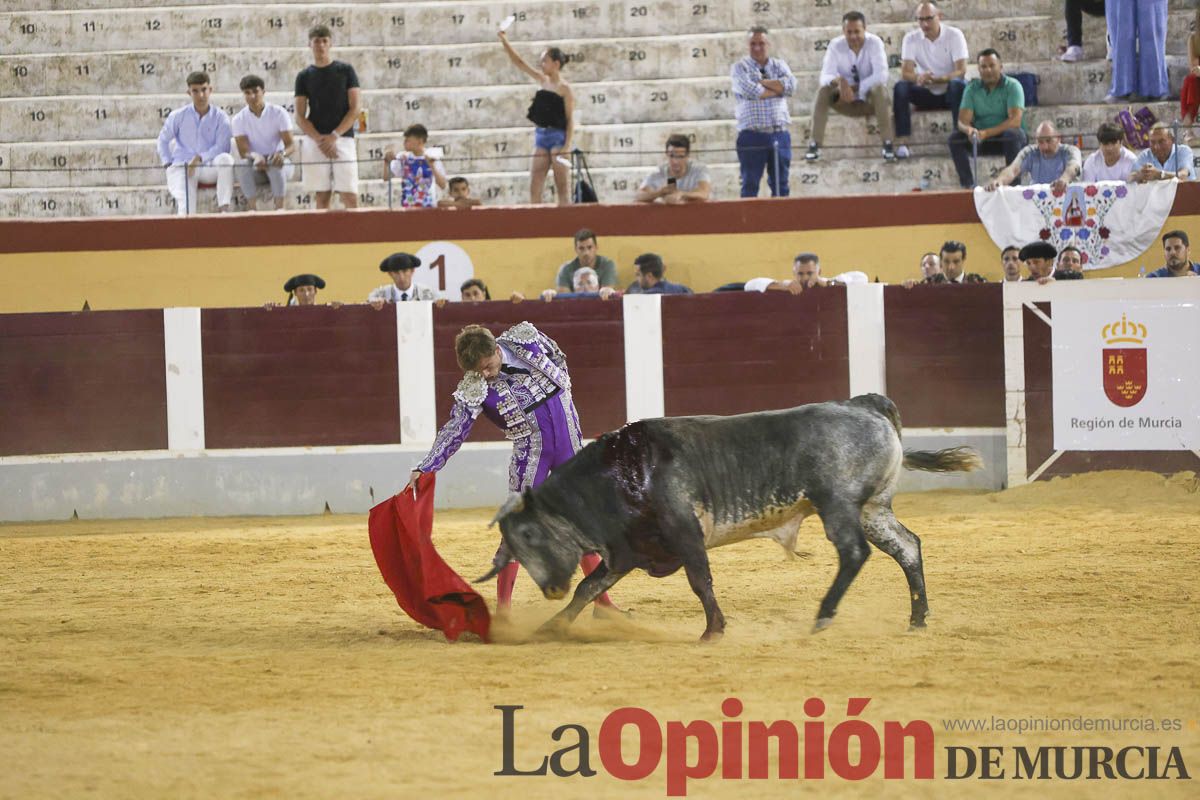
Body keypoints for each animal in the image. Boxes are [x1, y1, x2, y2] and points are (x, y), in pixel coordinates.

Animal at [472, 395, 979, 642]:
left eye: (530, 533)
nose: (549, 589)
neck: (618, 474)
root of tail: (865, 404)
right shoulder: (627, 551)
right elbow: (589, 588)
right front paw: (551, 627)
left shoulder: (684, 531)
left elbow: (700, 580)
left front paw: (713, 630)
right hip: (873, 508)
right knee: (907, 547)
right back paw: (918, 619)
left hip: (837, 504)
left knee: (854, 552)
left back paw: (823, 616)